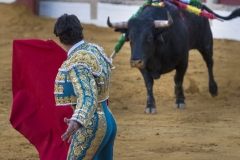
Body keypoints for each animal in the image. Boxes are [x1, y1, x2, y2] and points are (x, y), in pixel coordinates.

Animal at [108, 1, 240, 114]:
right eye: (130, 38)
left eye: (150, 37)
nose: (135, 61)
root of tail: (201, 7)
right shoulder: (144, 65)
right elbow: (149, 83)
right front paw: (150, 106)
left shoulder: (183, 61)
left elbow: (178, 80)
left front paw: (180, 101)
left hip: (206, 43)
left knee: (209, 63)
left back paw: (213, 89)